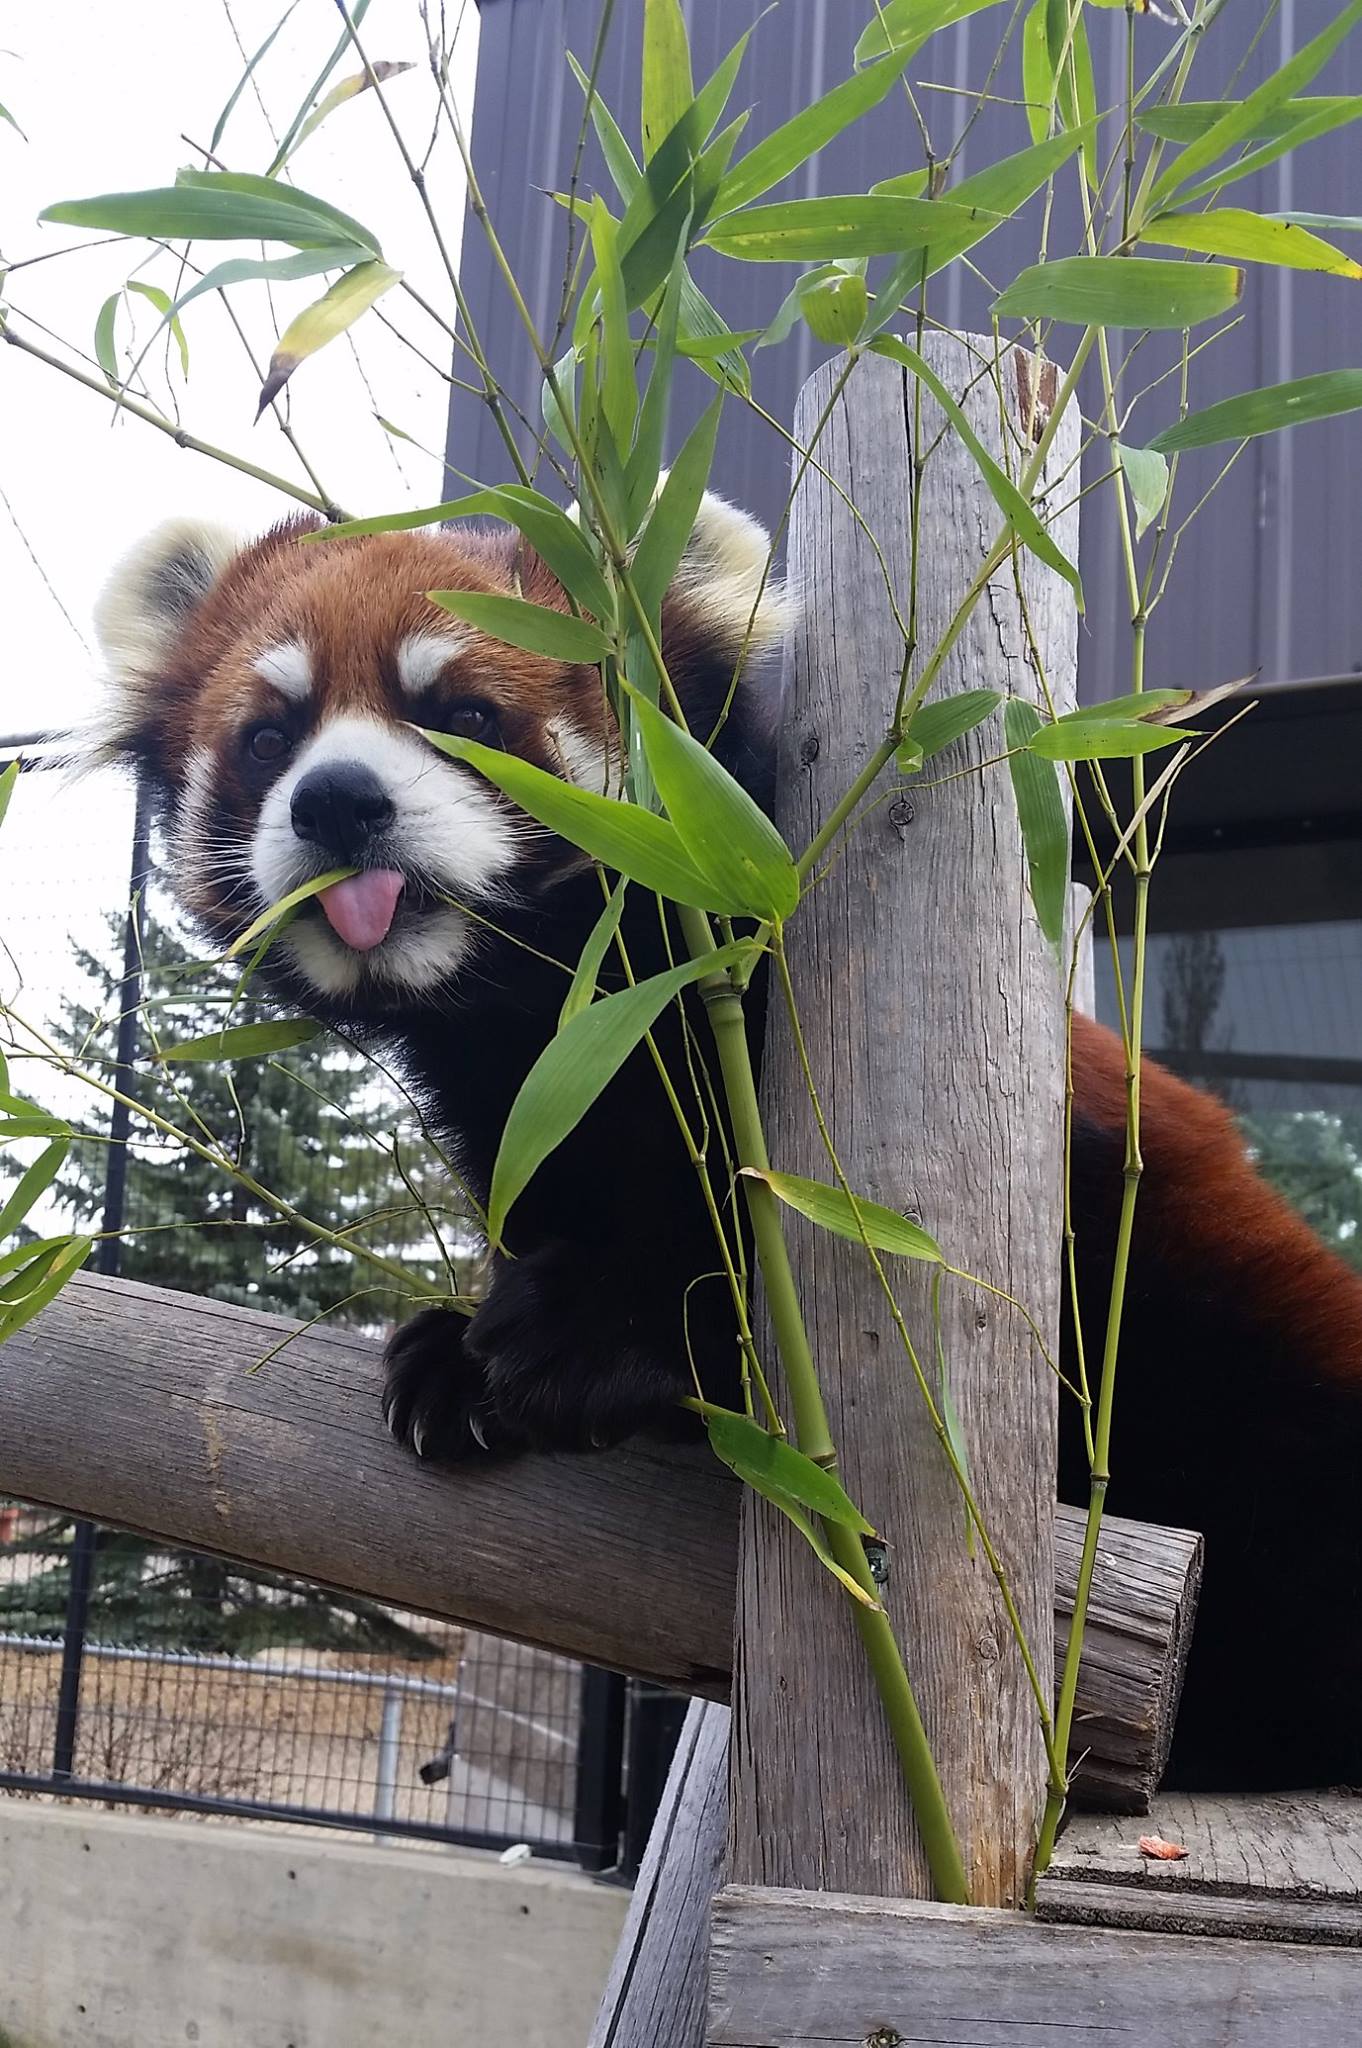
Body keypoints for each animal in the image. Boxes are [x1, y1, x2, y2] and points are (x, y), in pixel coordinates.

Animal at [91, 495, 1362, 1792]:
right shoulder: (528, 1104)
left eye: (466, 715)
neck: (561, 1004)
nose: (337, 799)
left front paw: (593, 1332)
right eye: (268, 737)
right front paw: (457, 1350)